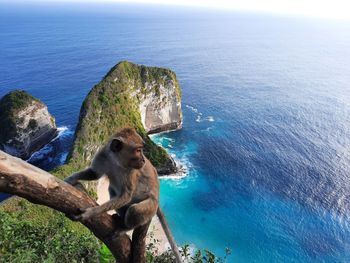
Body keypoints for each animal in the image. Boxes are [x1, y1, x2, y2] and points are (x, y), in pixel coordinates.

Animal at [64, 128, 183, 263]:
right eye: (138, 150)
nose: (143, 160)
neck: (116, 161)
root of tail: (157, 200)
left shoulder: (131, 171)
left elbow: (126, 196)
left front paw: (91, 212)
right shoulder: (102, 155)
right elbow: (94, 173)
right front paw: (69, 179)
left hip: (151, 207)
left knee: (135, 209)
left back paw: (125, 228)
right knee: (112, 191)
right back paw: (120, 219)